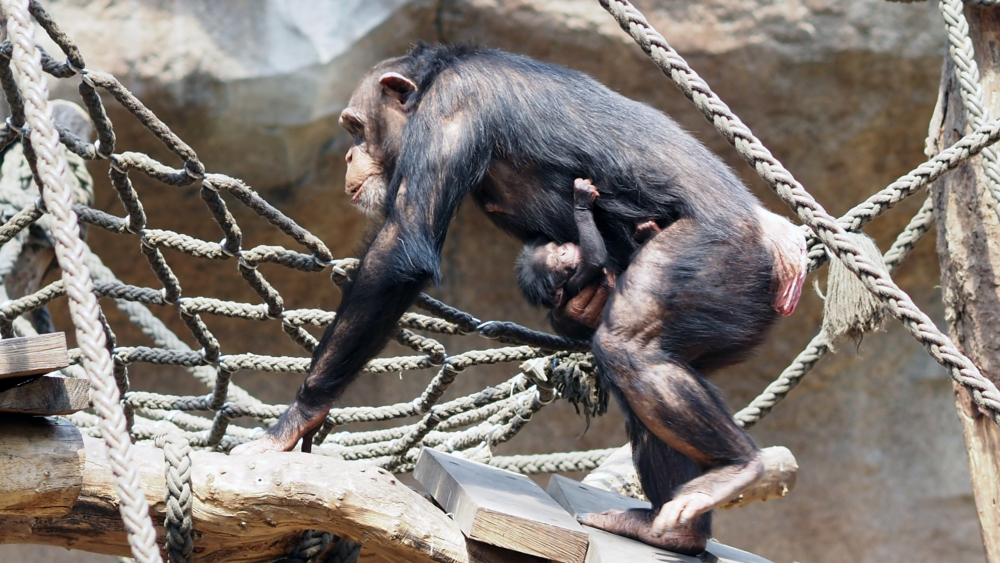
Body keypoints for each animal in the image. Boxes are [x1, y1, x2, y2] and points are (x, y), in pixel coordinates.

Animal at [232, 44, 804, 556]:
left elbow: (402, 249)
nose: (349, 154)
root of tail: (772, 255)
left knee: (629, 347)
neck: (435, 79)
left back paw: (736, 468)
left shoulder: (454, 108)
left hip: (716, 260)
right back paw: (671, 532)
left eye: (355, 127)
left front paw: (295, 419)